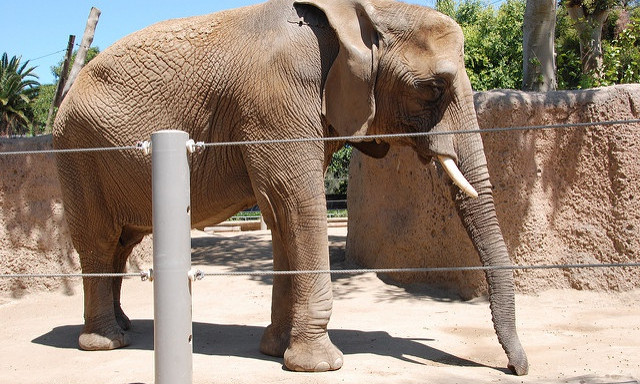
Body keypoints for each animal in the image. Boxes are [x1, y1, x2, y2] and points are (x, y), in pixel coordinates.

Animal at [51, 0, 528, 376]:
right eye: (432, 88)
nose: (515, 368)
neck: (361, 15)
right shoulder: (278, 99)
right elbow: (298, 205)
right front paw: (320, 365)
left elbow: (283, 216)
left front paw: (275, 350)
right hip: (78, 152)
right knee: (99, 240)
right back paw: (106, 342)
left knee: (122, 242)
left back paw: (125, 326)